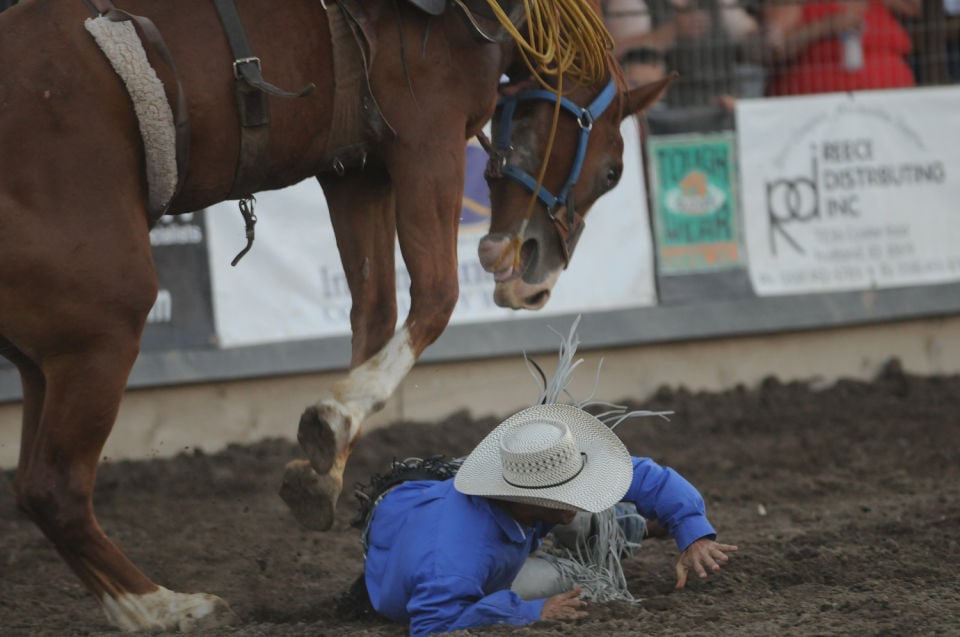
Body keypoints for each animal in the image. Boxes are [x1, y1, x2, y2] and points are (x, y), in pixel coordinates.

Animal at [0, 0, 672, 632]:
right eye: (613, 169)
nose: (535, 283)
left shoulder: (357, 170)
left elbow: (374, 312)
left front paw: (323, 466)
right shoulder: (424, 136)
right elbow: (436, 295)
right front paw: (333, 417)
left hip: (44, 357)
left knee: (35, 483)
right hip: (104, 326)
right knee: (54, 486)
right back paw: (163, 606)